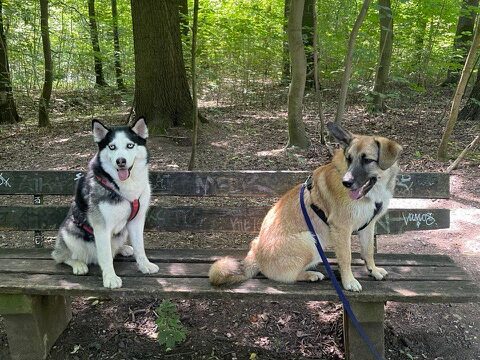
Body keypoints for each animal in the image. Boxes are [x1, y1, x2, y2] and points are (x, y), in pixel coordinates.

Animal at [52, 116, 159, 288]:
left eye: (130, 145)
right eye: (112, 147)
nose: (121, 161)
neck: (123, 187)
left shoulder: (137, 221)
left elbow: (140, 248)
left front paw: (144, 265)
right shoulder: (101, 227)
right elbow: (107, 256)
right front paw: (110, 278)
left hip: (122, 232)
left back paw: (123, 248)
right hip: (68, 233)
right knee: (61, 256)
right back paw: (78, 264)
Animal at [209, 122, 402, 292]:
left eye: (367, 160)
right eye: (349, 159)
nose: (346, 182)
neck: (373, 191)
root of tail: (256, 255)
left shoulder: (368, 226)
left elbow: (368, 251)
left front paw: (373, 270)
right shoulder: (342, 229)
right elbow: (346, 257)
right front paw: (349, 281)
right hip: (310, 239)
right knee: (288, 276)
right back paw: (310, 275)